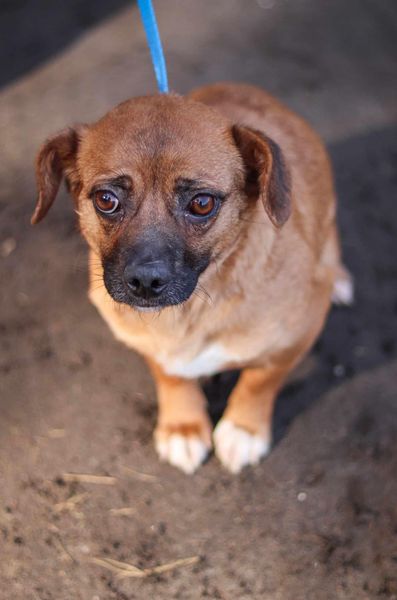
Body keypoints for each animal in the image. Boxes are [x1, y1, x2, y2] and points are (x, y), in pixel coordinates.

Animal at [32, 82, 352, 474]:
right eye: (106, 199)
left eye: (202, 203)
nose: (145, 282)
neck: (192, 309)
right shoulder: (146, 341)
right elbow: (170, 375)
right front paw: (182, 426)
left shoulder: (295, 339)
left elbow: (259, 382)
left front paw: (244, 428)